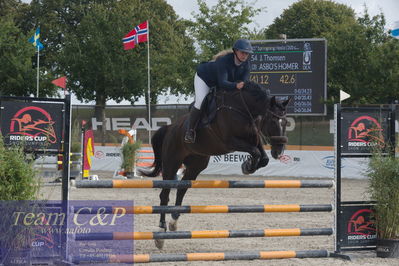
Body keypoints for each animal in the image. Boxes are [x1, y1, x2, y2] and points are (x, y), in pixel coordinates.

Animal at [141, 81, 290, 249]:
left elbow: (263, 158)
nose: (279, 151)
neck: (244, 109)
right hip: (171, 163)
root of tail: (170, 127)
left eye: (286, 122)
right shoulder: (230, 142)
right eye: (273, 120)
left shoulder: (254, 138)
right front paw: (248, 166)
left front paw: (248, 165)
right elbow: (256, 153)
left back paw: (174, 221)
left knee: (181, 189)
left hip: (196, 164)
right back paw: (160, 233)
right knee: (165, 195)